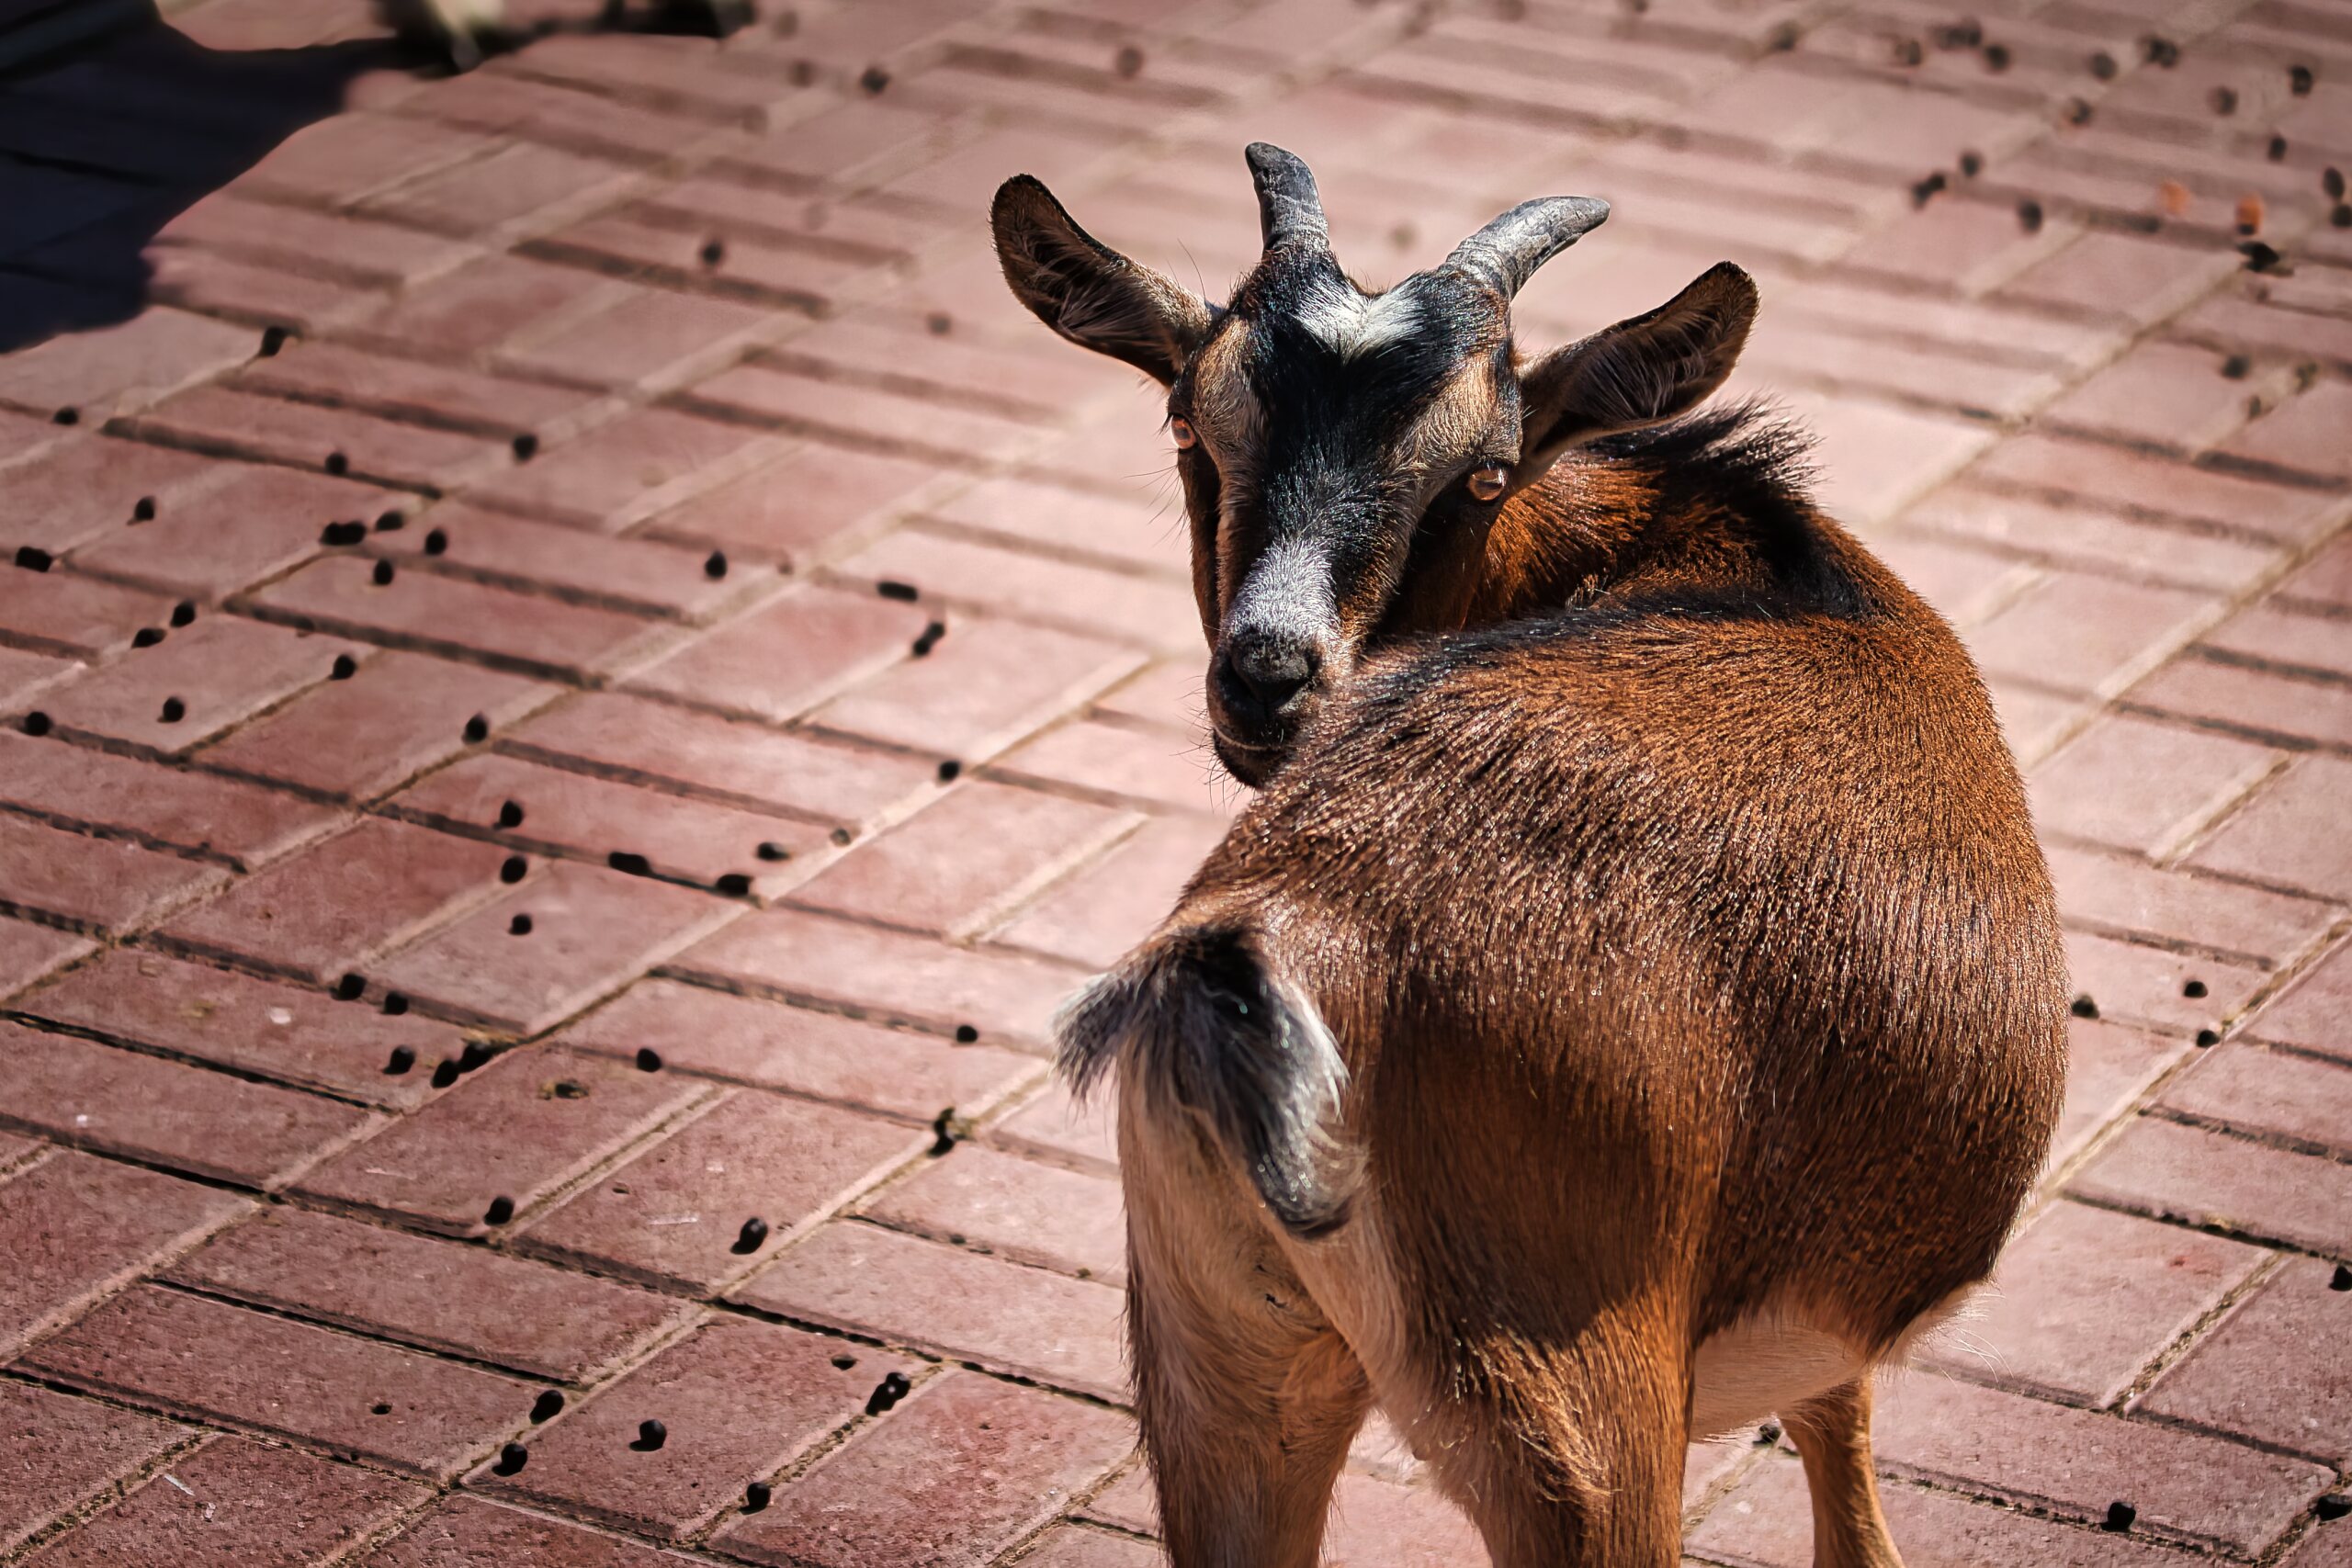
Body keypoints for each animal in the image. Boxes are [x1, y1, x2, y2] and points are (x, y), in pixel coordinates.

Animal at [993, 145, 2066, 1566]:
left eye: (1484, 472)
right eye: (1187, 425)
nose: (1270, 678)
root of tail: (1284, 931)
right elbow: (1846, 1454)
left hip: (1216, 1360)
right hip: (1569, 1394)